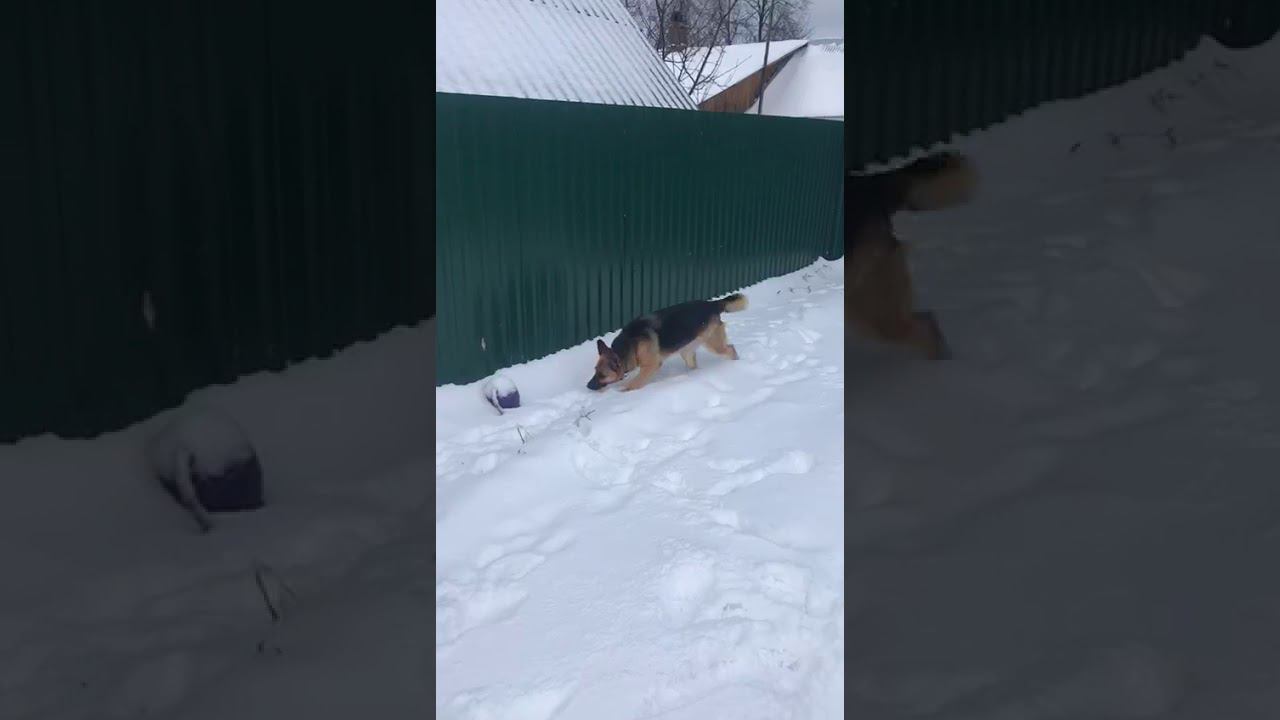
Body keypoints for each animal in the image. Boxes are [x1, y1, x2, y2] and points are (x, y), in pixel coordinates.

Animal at [587, 293, 748, 392]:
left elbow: (633, 384)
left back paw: (735, 364)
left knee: (730, 349)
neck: (630, 344)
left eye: (602, 375)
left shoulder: (650, 366)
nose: (588, 386)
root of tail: (713, 304)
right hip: (687, 351)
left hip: (714, 344)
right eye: (595, 370)